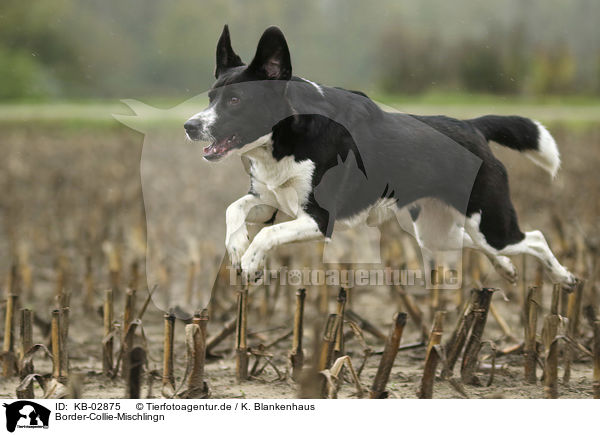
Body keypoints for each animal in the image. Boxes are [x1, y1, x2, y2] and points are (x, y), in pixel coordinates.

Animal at [184, 25, 576, 288]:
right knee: (474, 243)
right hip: (436, 232)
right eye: (210, 97)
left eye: (236, 101)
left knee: (535, 237)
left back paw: (565, 277)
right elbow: (233, 209)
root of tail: (471, 127)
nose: (189, 126)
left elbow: (268, 234)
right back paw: (506, 268)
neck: (286, 137)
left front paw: (251, 262)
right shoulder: (267, 200)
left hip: (489, 221)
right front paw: (237, 247)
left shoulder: (319, 218)